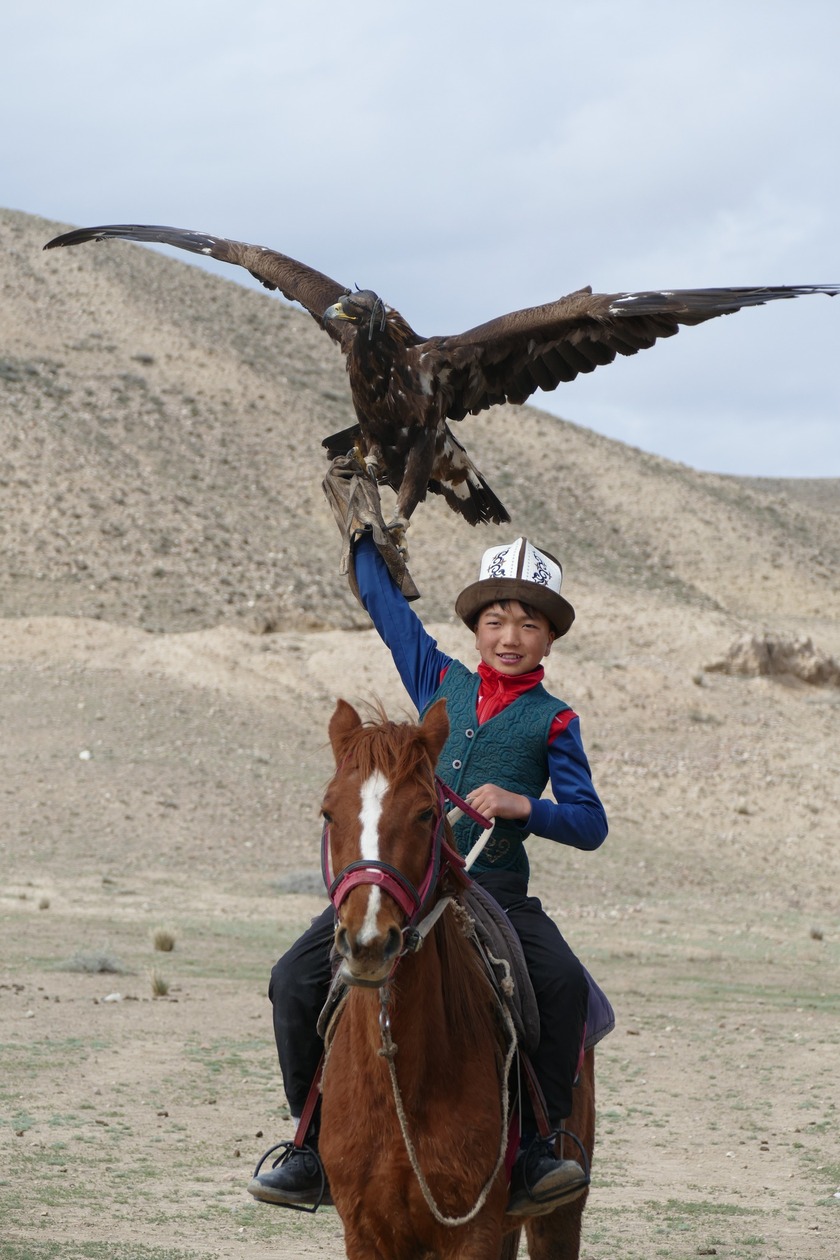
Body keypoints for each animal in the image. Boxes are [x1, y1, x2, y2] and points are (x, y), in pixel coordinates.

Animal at [314, 700, 596, 1260]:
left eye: (427, 812)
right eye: (329, 812)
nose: (369, 941)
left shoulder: (474, 1230)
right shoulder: (364, 1232)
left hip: (558, 1215)